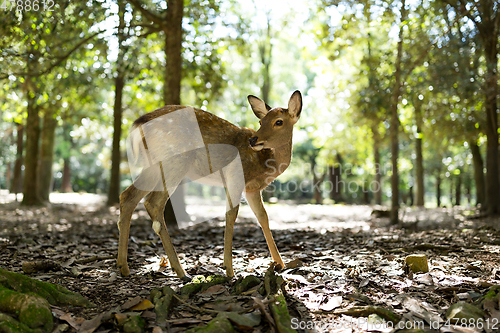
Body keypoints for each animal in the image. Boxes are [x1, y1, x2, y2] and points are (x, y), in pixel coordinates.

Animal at [117, 89, 302, 278]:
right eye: (261, 121)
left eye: (278, 121)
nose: (253, 140)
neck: (264, 161)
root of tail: (138, 124)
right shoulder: (236, 175)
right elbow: (231, 215)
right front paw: (229, 269)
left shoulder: (251, 189)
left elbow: (263, 217)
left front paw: (280, 263)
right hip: (175, 160)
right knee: (153, 202)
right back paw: (181, 271)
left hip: (153, 165)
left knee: (128, 196)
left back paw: (123, 267)